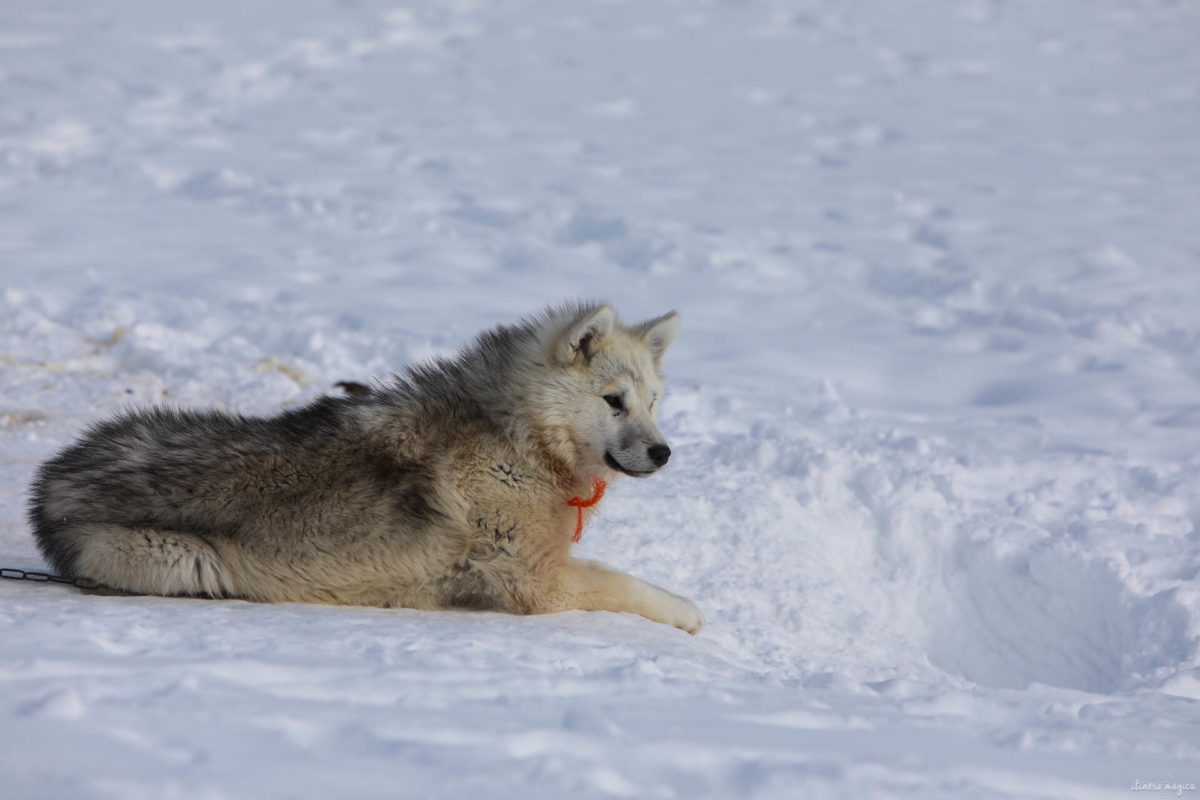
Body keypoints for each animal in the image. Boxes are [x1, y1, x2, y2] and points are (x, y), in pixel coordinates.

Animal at [28, 303, 705, 633]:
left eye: (652, 402)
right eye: (613, 401)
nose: (664, 452)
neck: (519, 441)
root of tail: (50, 485)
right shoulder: (541, 582)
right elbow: (628, 585)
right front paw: (691, 614)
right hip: (181, 562)